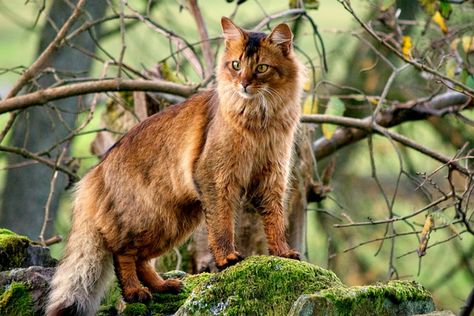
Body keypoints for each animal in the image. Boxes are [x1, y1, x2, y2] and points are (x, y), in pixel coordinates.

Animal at [45, 17, 304, 316]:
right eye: (236, 65)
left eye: (262, 68)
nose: (244, 84)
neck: (260, 120)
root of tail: (96, 171)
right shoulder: (216, 178)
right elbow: (222, 226)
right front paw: (227, 258)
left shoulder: (272, 178)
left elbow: (275, 220)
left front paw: (283, 253)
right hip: (146, 218)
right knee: (122, 253)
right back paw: (135, 292)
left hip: (174, 221)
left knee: (142, 258)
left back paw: (162, 286)